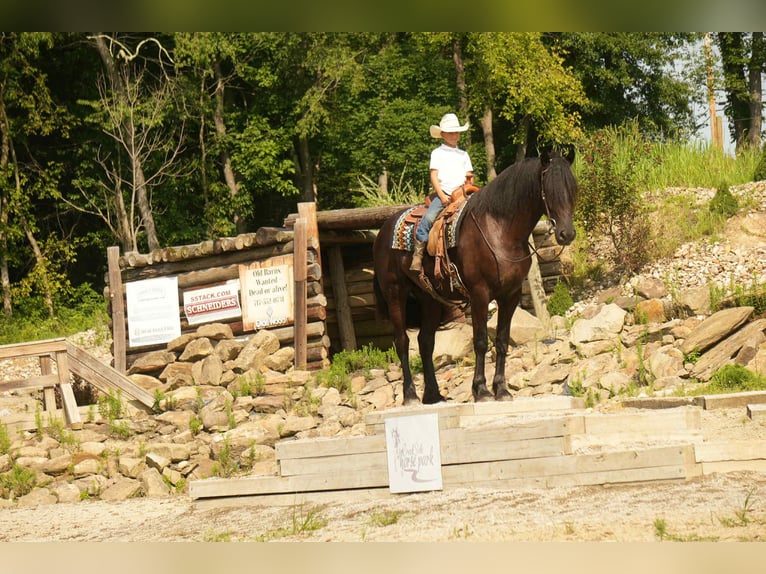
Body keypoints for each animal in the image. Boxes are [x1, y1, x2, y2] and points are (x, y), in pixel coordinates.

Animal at [372, 149, 578, 404]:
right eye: (549, 189)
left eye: (573, 189)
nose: (566, 234)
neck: (500, 230)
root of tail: (383, 231)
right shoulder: (480, 293)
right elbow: (480, 341)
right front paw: (481, 390)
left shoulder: (510, 295)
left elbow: (501, 340)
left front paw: (502, 389)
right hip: (395, 294)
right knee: (402, 342)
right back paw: (410, 395)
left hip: (429, 298)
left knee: (425, 341)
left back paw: (433, 394)